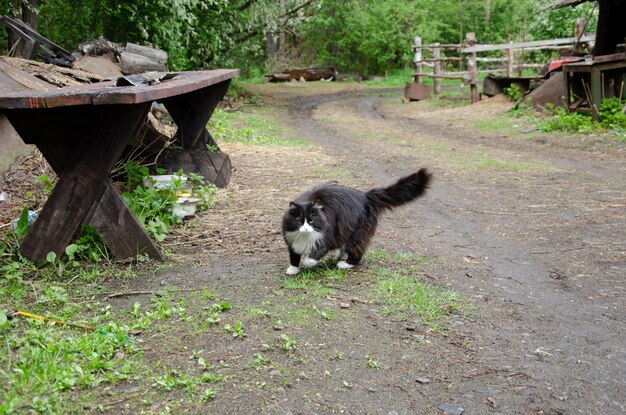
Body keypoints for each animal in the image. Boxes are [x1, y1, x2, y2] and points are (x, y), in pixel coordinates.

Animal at [282, 167, 432, 274]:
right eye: (299, 220)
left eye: (311, 220)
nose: (306, 229)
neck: (304, 237)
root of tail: (365, 197)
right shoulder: (291, 242)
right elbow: (294, 257)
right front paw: (293, 270)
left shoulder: (325, 239)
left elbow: (312, 257)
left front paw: (307, 263)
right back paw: (339, 256)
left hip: (357, 233)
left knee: (357, 251)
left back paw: (344, 264)